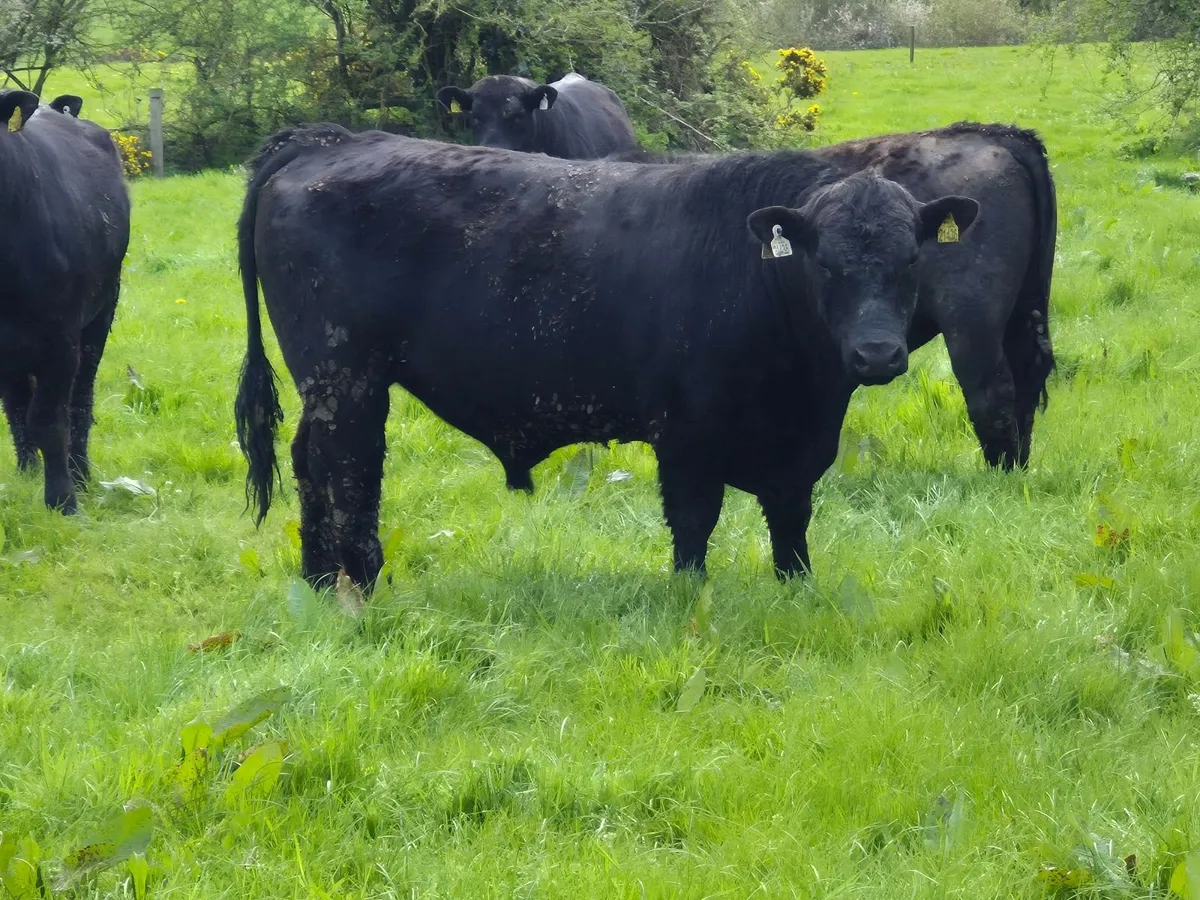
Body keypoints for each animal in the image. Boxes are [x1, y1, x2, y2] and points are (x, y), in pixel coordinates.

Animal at [0, 89, 130, 513]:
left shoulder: (59, 340)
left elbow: (50, 422)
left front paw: (63, 501)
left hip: (99, 316)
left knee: (79, 402)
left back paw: (80, 473)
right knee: (17, 402)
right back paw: (27, 470)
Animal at [234, 126, 977, 587]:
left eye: (911, 261)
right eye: (825, 264)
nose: (876, 354)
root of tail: (330, 139)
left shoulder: (797, 447)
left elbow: (790, 520)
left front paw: (796, 588)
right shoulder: (686, 434)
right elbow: (694, 522)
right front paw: (690, 596)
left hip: (328, 386)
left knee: (310, 464)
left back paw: (319, 580)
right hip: (347, 379)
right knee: (349, 471)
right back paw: (362, 582)